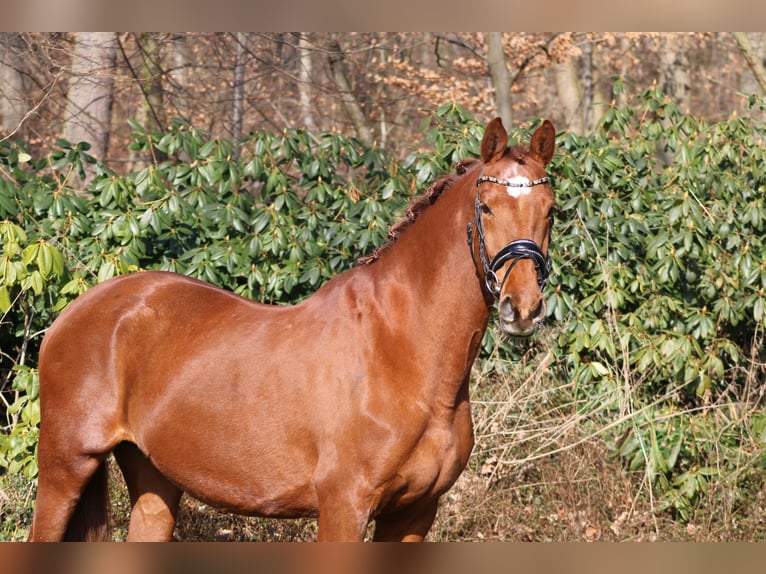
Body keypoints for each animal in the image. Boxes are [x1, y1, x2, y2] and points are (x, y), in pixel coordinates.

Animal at [27, 118, 556, 544]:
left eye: (550, 209)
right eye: (486, 207)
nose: (522, 308)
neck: (400, 351)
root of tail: (78, 312)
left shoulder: (414, 514)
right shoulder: (344, 507)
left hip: (153, 479)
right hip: (65, 468)